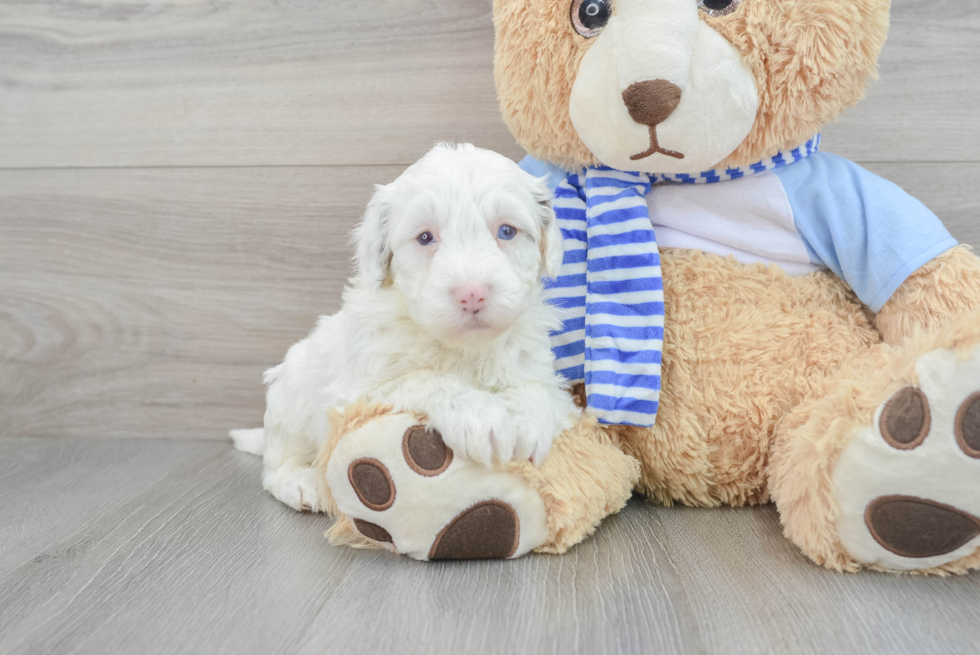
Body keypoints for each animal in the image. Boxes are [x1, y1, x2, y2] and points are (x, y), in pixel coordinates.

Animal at [233, 144, 580, 512]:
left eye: (507, 232)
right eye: (425, 238)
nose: (472, 293)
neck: (465, 349)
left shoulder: (534, 365)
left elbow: (538, 390)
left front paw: (528, 423)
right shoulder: (362, 390)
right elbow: (423, 378)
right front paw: (481, 418)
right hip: (289, 399)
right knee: (276, 466)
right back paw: (301, 482)